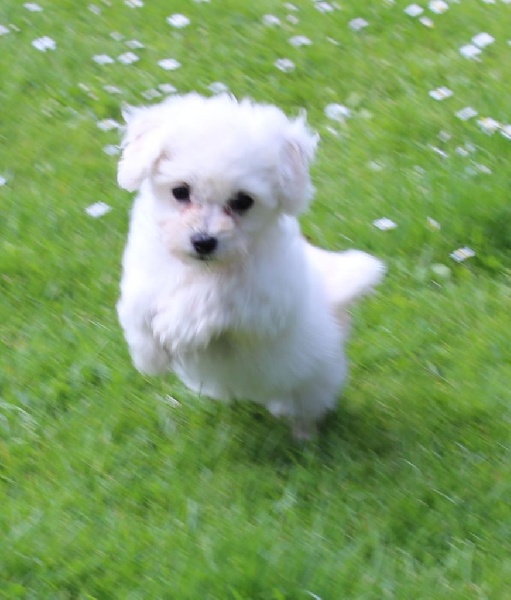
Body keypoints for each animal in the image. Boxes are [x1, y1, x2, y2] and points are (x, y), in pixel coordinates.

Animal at [116, 93, 385, 439]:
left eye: (243, 201)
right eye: (180, 191)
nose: (203, 241)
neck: (202, 268)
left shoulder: (267, 301)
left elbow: (222, 293)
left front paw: (178, 324)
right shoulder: (145, 273)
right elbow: (138, 310)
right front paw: (150, 357)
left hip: (312, 381)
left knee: (307, 405)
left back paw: (305, 436)